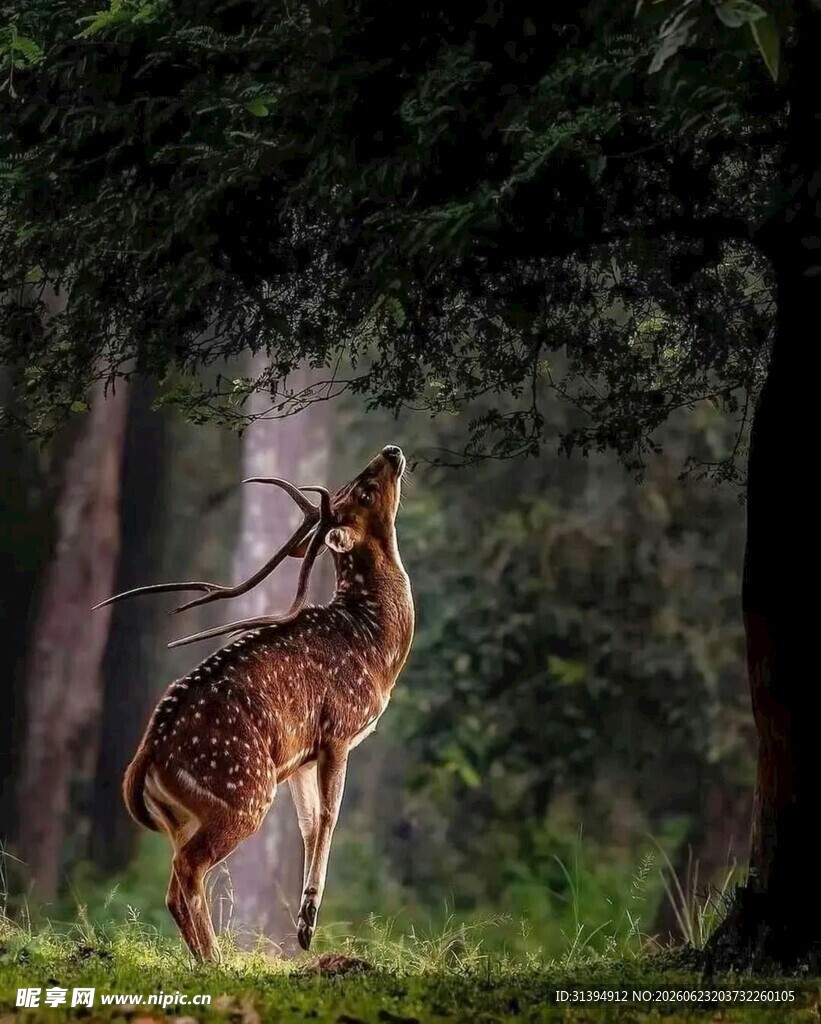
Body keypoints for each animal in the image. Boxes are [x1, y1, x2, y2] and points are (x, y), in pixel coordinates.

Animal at [95, 445, 413, 960]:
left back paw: (206, 959)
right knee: (189, 871)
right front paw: (307, 925)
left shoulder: (302, 757)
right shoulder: (338, 729)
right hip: (244, 793)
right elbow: (330, 818)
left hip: (187, 816)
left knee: (174, 886)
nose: (391, 451)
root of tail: (148, 754)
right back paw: (217, 960)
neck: (374, 646)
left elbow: (309, 825)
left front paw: (303, 924)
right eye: (363, 489)